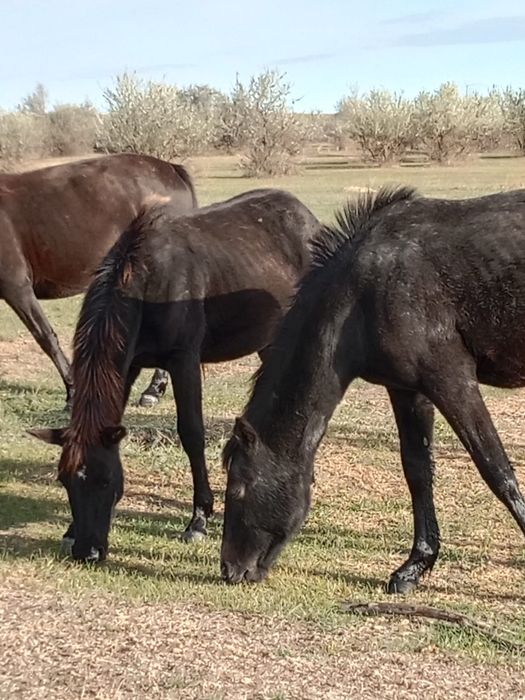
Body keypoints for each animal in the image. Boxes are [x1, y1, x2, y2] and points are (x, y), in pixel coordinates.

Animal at [29, 188, 320, 561]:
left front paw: (199, 519)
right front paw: (68, 529)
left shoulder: (184, 361)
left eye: (105, 480)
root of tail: (305, 215)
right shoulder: (130, 364)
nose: (87, 551)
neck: (144, 282)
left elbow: (192, 433)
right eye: (64, 480)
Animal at [220, 185, 525, 593]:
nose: (230, 569)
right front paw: (414, 566)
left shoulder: (452, 381)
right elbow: (417, 471)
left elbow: (497, 470)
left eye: (238, 487)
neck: (364, 294)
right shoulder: (408, 390)